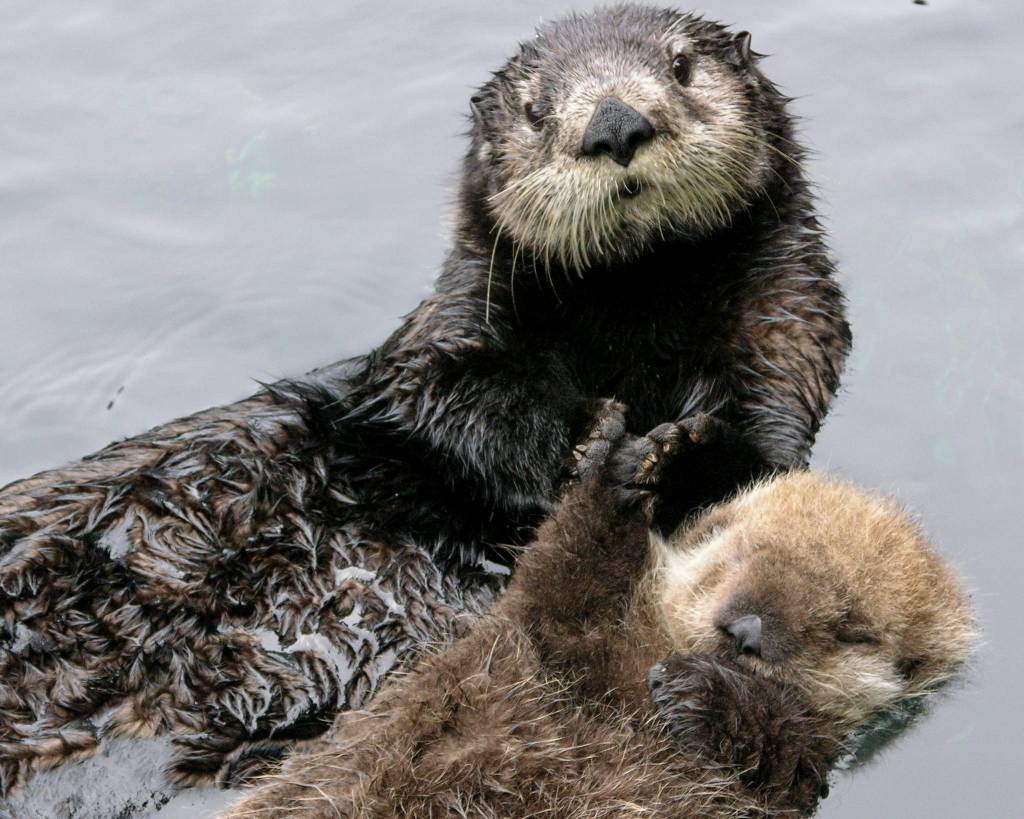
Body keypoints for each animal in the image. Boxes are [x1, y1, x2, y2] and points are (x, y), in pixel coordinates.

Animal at [0, 4, 848, 806]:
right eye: (537, 108)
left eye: (681, 66)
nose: (614, 124)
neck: (637, 306)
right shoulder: (455, 325)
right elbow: (445, 405)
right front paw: (587, 435)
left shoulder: (786, 337)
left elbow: (765, 462)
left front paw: (676, 452)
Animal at [220, 414, 974, 818]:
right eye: (735, 549)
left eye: (848, 626)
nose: (745, 630)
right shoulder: (552, 637)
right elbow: (565, 573)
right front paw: (652, 457)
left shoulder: (799, 770)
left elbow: (779, 743)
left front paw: (702, 691)